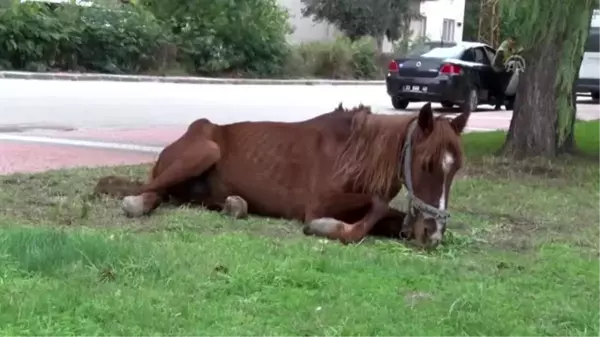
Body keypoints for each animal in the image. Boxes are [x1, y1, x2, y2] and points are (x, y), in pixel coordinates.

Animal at [95, 102, 468, 247]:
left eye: (456, 169)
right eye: (426, 164)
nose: (433, 235)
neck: (353, 152)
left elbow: (385, 215)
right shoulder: (319, 203)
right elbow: (365, 217)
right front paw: (324, 228)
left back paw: (234, 205)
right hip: (205, 149)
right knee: (148, 190)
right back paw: (137, 203)